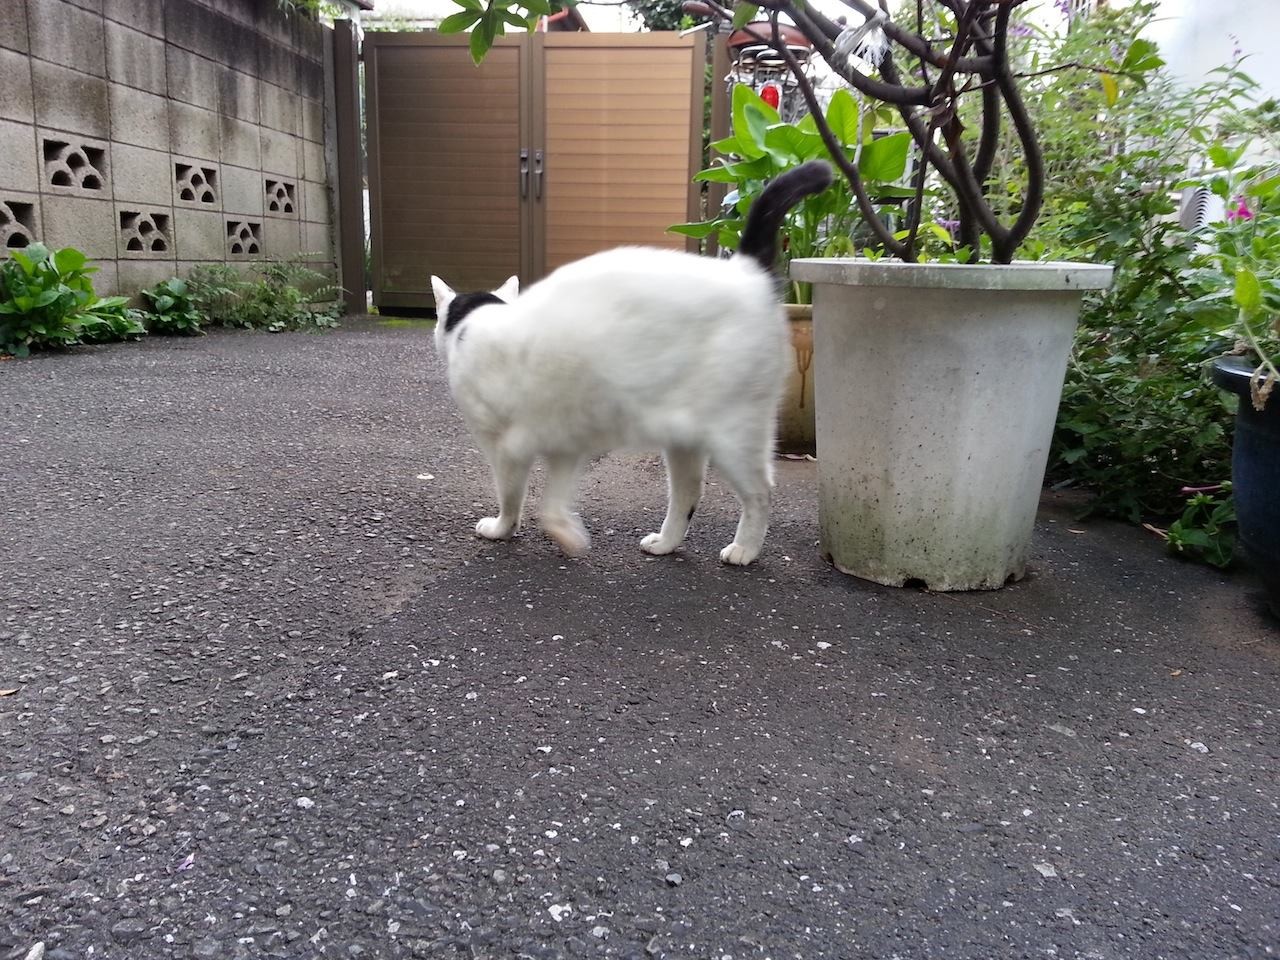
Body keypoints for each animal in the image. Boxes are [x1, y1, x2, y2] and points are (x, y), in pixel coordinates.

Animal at [430, 158, 829, 563]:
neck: (474, 324)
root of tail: (745, 270)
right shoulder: (564, 441)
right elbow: (553, 500)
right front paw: (567, 534)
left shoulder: (505, 446)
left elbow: (511, 495)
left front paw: (501, 528)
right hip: (684, 437)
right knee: (689, 491)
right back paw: (666, 543)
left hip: (735, 434)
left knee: (761, 491)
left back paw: (745, 548)